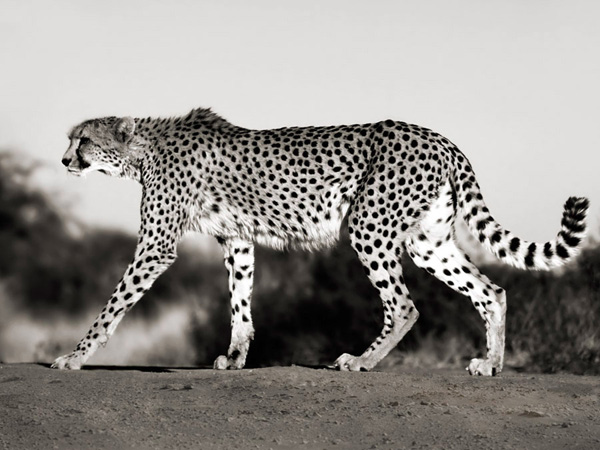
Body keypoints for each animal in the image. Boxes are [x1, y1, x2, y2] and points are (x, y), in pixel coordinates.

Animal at [54, 107, 588, 374]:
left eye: (83, 140)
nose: (63, 161)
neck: (144, 149)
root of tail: (438, 136)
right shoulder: (238, 239)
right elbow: (240, 302)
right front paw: (236, 357)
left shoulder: (156, 245)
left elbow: (113, 306)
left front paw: (74, 357)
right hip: (427, 241)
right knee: (491, 290)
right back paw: (490, 364)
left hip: (369, 225)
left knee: (404, 305)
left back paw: (362, 360)